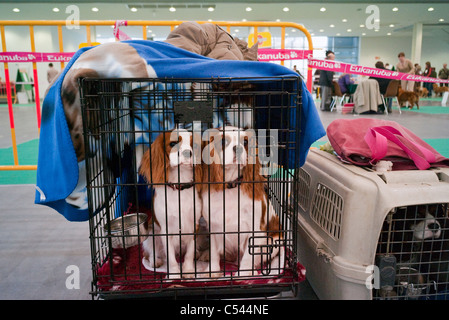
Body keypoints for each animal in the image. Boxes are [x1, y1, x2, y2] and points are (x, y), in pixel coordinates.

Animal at [139, 129, 202, 278]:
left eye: (195, 145)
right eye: (173, 143)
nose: (187, 152)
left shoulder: (194, 225)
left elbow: (189, 252)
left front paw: (188, 270)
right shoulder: (165, 230)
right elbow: (171, 258)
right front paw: (174, 275)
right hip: (151, 233)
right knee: (150, 252)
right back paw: (155, 261)